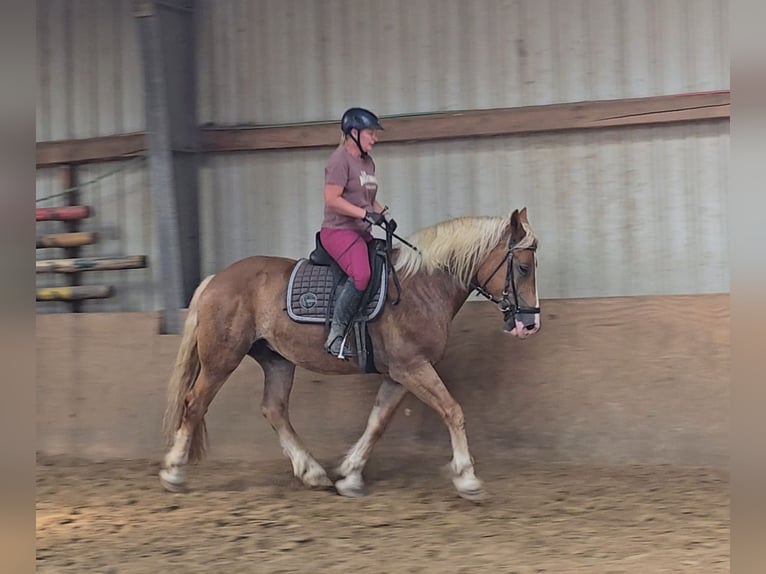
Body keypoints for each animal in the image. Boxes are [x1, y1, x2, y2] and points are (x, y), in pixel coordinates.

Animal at [159, 208, 544, 504]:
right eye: (523, 267)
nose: (530, 323)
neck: (422, 287)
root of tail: (216, 280)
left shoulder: (399, 374)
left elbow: (377, 422)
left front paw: (350, 475)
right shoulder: (413, 368)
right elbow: (453, 411)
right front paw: (467, 478)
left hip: (276, 359)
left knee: (274, 409)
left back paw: (312, 471)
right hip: (221, 359)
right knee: (195, 404)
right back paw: (174, 472)